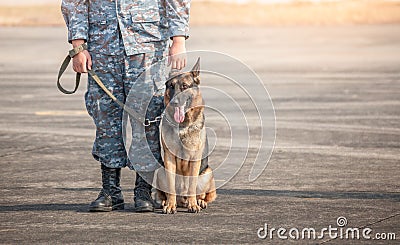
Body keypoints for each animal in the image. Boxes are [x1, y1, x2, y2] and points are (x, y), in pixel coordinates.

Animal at [157, 58, 219, 213]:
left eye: (184, 86)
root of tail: (182, 200)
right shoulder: (169, 158)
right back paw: (166, 202)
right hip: (160, 170)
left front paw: (193, 205)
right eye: (171, 86)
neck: (182, 125)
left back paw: (199, 202)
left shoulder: (194, 159)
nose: (174, 102)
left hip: (208, 173)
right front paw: (170, 205)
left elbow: (192, 186)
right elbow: (171, 187)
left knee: (204, 195)